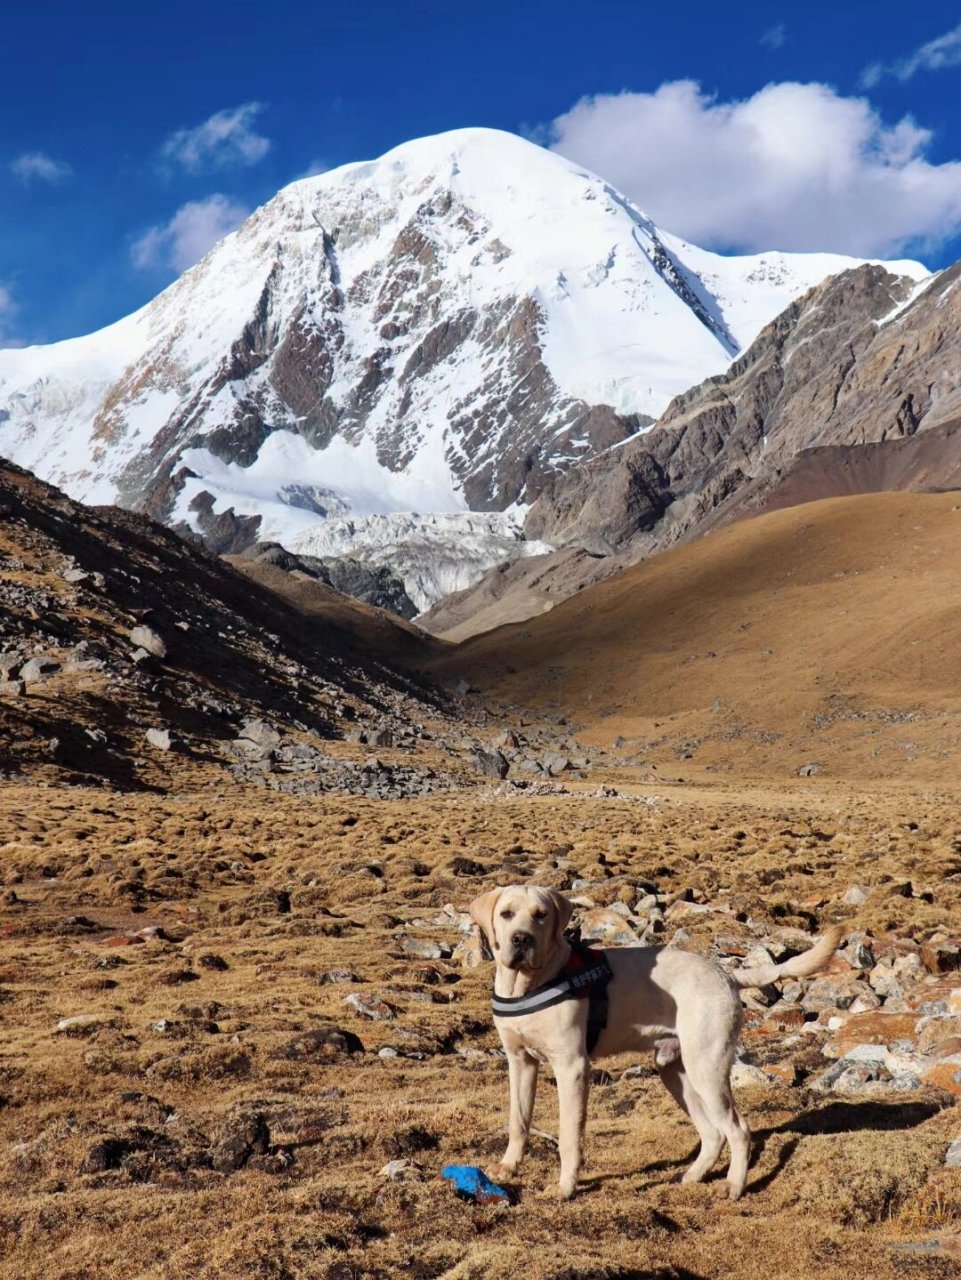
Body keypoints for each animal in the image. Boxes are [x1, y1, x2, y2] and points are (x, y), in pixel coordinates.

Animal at [470, 890, 839, 1198]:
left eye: (541, 915)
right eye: (506, 914)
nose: (521, 939)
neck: (530, 983)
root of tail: (727, 974)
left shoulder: (571, 1067)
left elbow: (569, 1137)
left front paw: (565, 1188)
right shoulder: (520, 1061)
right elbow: (518, 1121)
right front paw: (507, 1168)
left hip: (706, 1068)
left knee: (738, 1130)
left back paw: (733, 1186)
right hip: (674, 1071)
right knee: (713, 1133)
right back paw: (692, 1176)